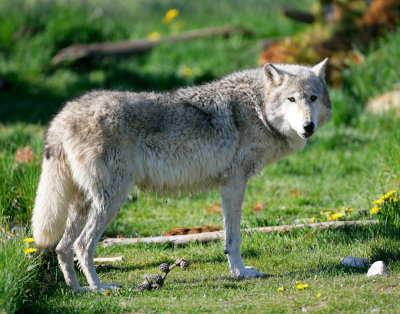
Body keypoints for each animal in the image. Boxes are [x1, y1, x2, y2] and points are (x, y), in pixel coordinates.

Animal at [31, 59, 332, 292]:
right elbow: (233, 239)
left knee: (62, 247)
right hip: (112, 199)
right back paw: (100, 288)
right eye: (291, 99)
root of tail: (62, 116)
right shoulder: (234, 183)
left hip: (85, 204)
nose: (308, 126)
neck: (257, 108)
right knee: (82, 245)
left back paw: (78, 289)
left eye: (313, 98)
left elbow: (228, 238)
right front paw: (240, 273)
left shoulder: (229, 185)